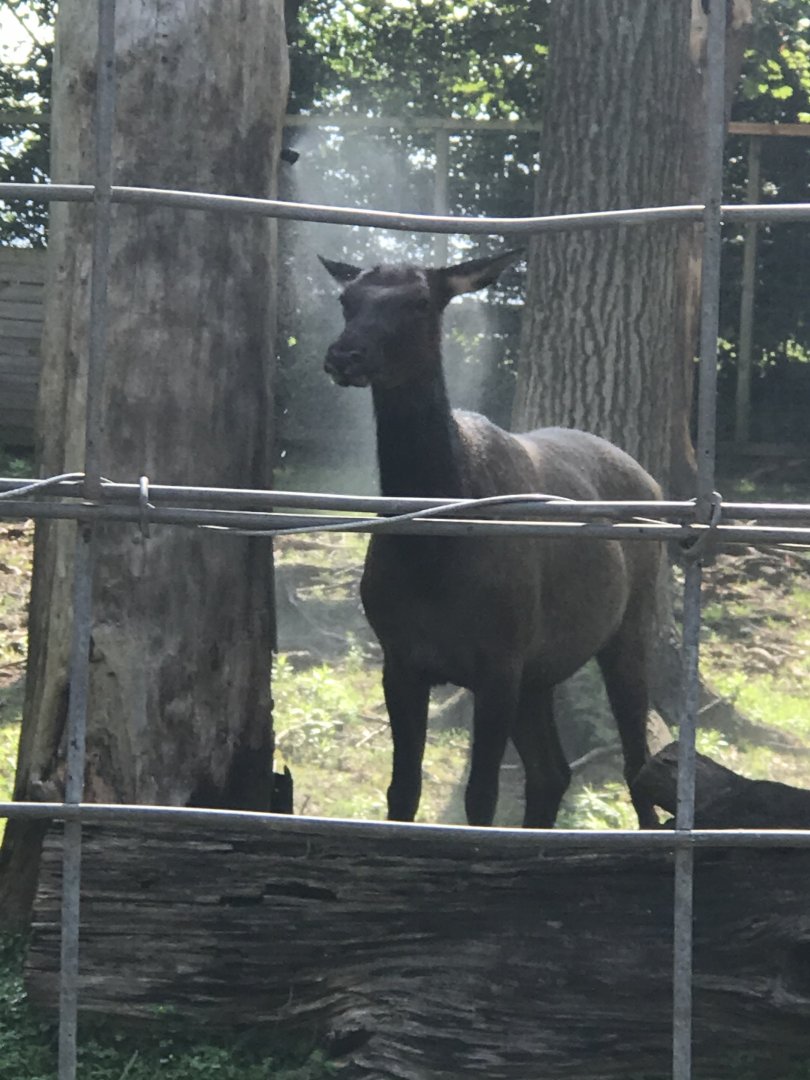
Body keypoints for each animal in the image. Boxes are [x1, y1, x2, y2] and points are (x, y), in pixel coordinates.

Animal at [320, 249, 663, 829]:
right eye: (347, 298)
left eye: (421, 301)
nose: (344, 354)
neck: (431, 555)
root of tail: (653, 481)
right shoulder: (400, 658)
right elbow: (401, 790)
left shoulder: (499, 660)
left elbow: (480, 796)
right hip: (541, 668)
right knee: (553, 771)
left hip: (628, 626)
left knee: (637, 762)